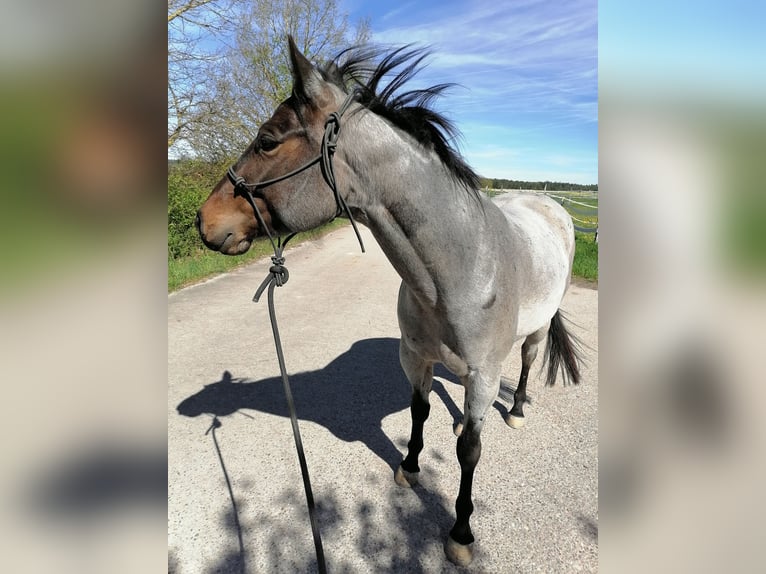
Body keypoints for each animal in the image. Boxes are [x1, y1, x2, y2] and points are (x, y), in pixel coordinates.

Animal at [195, 36, 582, 567]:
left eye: (268, 141)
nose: (203, 221)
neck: (459, 270)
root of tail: (552, 207)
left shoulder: (484, 375)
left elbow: (470, 451)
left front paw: (461, 532)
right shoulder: (415, 357)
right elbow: (420, 411)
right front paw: (410, 466)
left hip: (534, 334)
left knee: (525, 360)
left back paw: (518, 409)